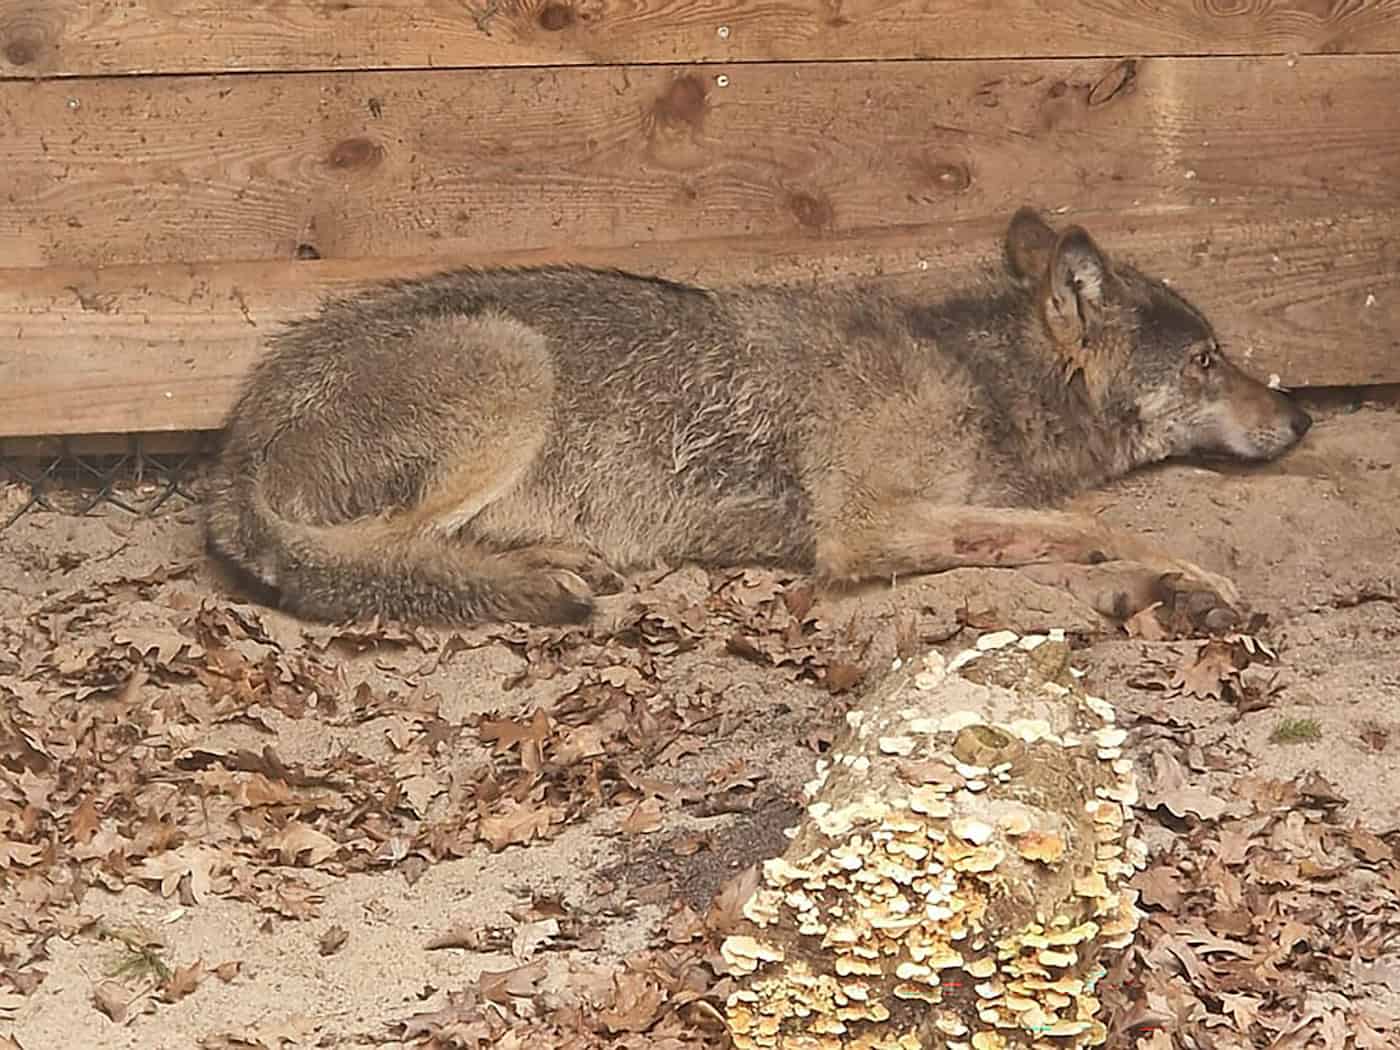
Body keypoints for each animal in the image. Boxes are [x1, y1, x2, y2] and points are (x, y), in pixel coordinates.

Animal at [204, 207, 1312, 628]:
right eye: (1208, 360)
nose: (1301, 416)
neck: (976, 375)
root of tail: (232, 448)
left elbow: (1058, 531)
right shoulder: (861, 531)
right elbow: (1093, 524)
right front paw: (1186, 576)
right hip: (512, 363)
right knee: (372, 560)